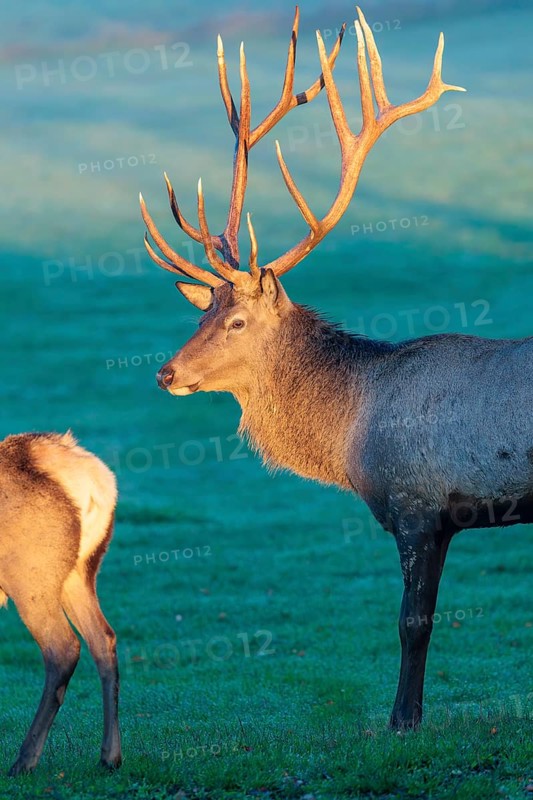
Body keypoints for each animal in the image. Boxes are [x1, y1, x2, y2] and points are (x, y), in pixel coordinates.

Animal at [0, 431, 121, 775]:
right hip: (78, 571)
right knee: (103, 638)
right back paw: (109, 756)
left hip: (30, 578)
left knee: (63, 647)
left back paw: (24, 760)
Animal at [140, 7, 531, 729]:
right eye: (203, 313)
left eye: (237, 322)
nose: (166, 374)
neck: (350, 437)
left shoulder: (417, 505)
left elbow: (413, 623)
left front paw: (402, 720)